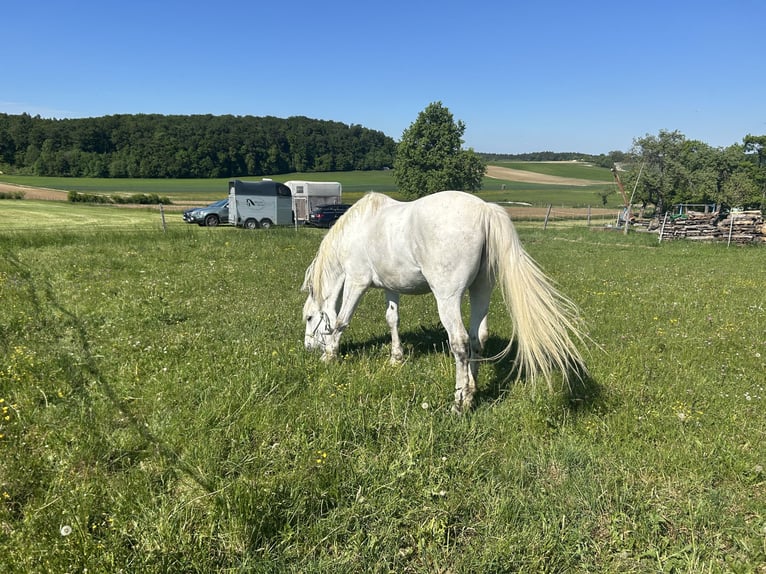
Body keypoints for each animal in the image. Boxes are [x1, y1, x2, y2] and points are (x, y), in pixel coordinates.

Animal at [301, 190, 586, 413]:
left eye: (309, 317)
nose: (308, 348)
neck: (358, 230)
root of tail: (485, 211)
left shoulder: (356, 282)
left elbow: (341, 320)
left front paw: (329, 356)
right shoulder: (391, 287)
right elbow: (392, 319)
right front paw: (396, 358)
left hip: (447, 297)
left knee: (459, 342)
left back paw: (460, 401)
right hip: (481, 290)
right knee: (478, 338)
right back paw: (472, 390)